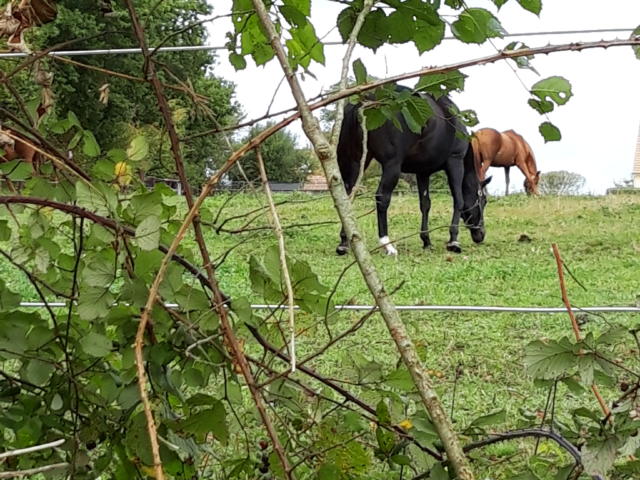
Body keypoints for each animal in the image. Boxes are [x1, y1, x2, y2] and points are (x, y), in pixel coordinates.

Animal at [336, 88, 490, 256]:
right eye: (483, 200)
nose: (481, 234)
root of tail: (364, 102)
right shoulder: (455, 162)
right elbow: (459, 201)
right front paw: (453, 241)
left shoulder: (423, 172)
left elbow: (425, 204)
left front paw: (426, 240)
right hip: (392, 165)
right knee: (382, 197)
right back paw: (387, 244)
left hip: (356, 161)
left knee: (346, 196)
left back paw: (344, 242)